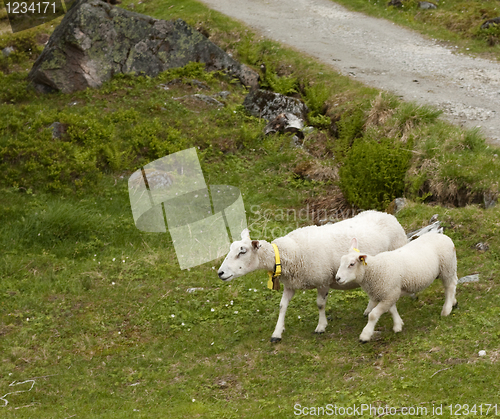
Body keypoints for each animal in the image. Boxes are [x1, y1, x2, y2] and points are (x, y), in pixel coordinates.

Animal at [217, 212, 408, 342]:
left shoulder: (323, 280)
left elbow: (320, 304)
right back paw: (369, 308)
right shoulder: (290, 285)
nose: (220, 273)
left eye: (242, 251)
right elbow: (282, 306)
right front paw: (277, 333)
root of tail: (389, 215)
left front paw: (321, 326)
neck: (290, 253)